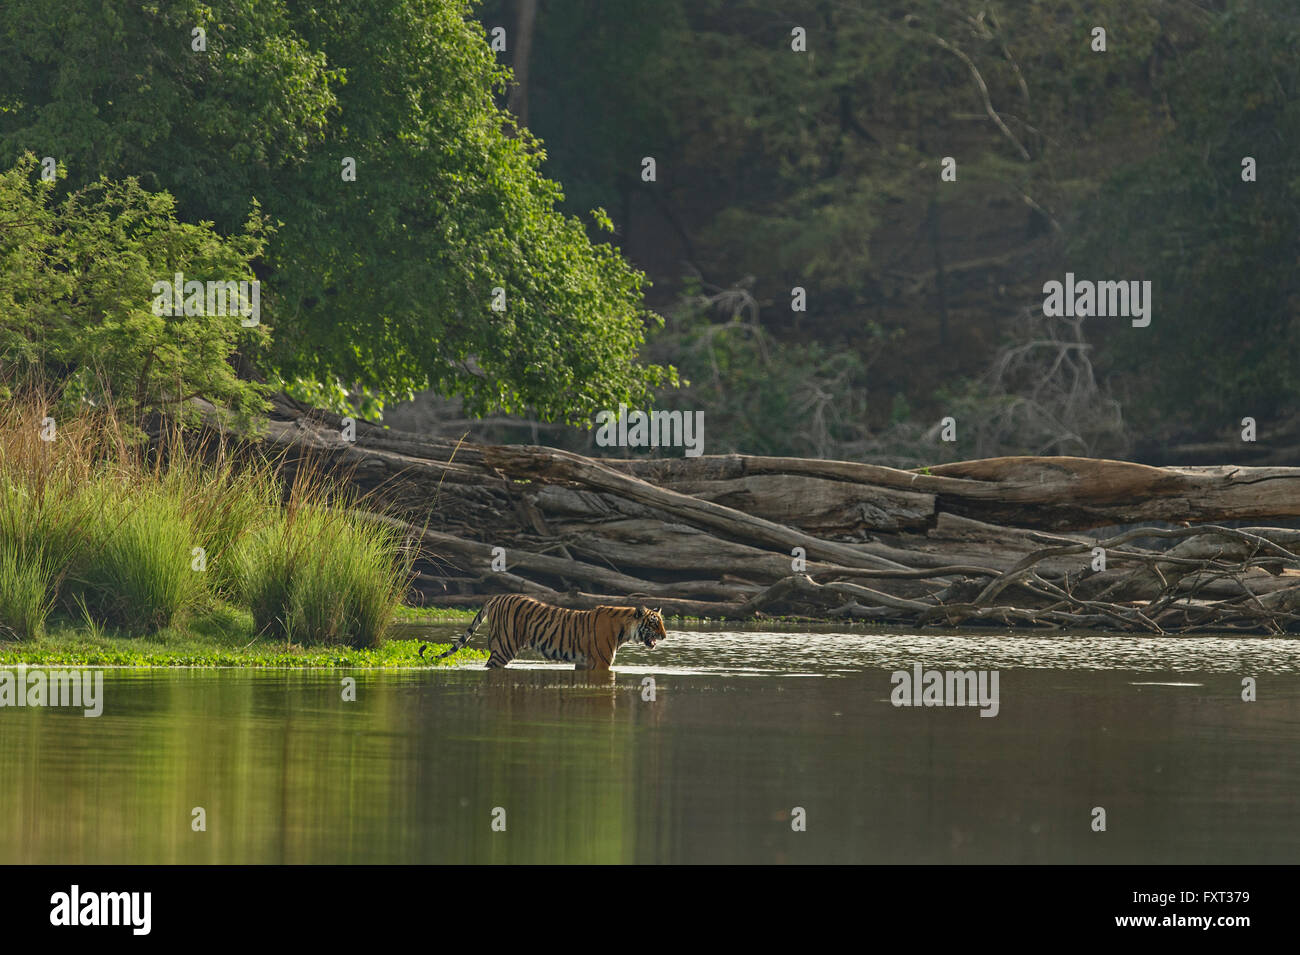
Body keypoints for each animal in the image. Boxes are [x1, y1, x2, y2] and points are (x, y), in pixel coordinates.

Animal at [418, 595, 670, 670]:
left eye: (662, 623)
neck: (625, 630)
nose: (665, 636)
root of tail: (496, 596)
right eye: (654, 623)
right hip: (504, 647)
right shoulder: (601, 663)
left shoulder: (584, 663)